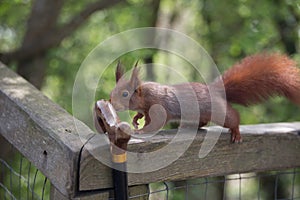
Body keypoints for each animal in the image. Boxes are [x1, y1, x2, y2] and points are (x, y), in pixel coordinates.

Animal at [109, 54, 300, 143]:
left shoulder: (158, 106)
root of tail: (216, 91)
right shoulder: (147, 108)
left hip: (219, 112)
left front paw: (141, 130)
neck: (145, 95)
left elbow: (155, 123)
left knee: (233, 117)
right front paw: (136, 119)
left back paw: (236, 132)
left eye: (125, 94)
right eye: (113, 91)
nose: (111, 103)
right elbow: (143, 115)